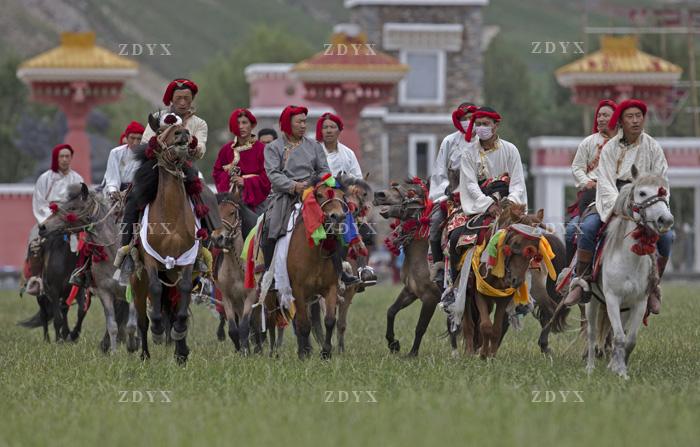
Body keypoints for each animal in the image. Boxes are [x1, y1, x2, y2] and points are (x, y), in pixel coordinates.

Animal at [37, 182, 139, 354]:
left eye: (72, 207)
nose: (42, 227)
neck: (114, 256)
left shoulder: (132, 291)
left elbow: (132, 324)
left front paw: (132, 346)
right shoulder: (105, 293)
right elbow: (112, 326)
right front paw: (114, 353)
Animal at [372, 178, 438, 356]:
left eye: (412, 192)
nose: (379, 194)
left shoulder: (430, 297)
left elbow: (420, 327)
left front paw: (412, 354)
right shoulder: (410, 291)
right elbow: (391, 311)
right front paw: (393, 343)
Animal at [580, 166, 672, 376]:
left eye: (665, 193)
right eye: (642, 192)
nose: (666, 219)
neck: (630, 260)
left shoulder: (639, 302)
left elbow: (629, 340)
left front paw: (619, 368)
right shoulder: (612, 298)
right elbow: (619, 337)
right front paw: (620, 371)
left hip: (625, 307)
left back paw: (611, 364)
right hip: (592, 301)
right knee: (591, 333)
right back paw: (589, 367)